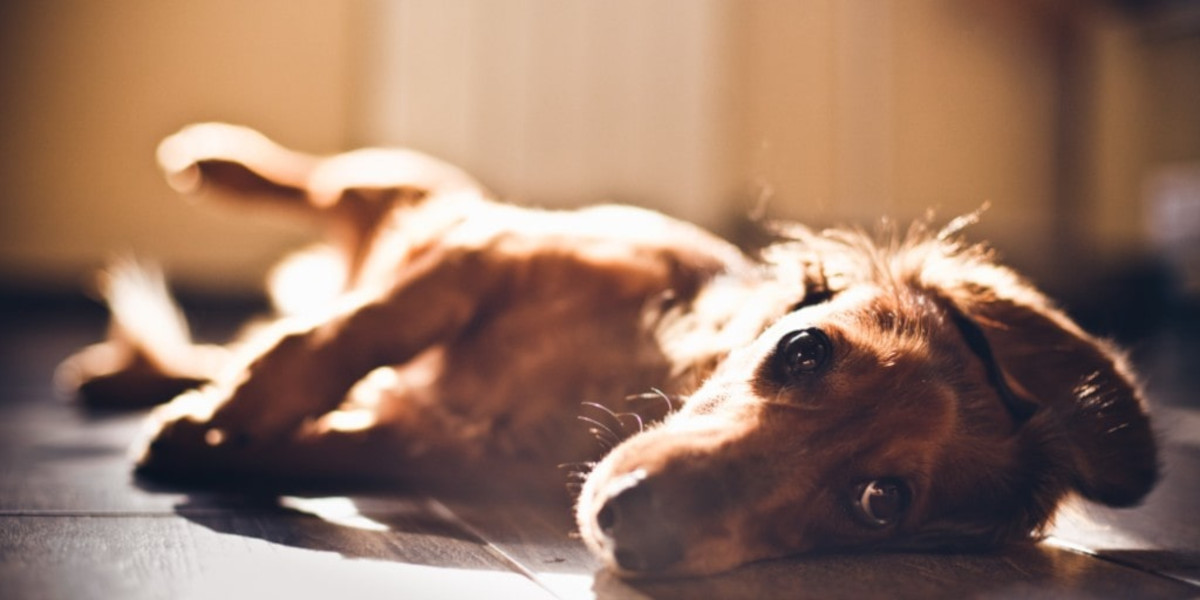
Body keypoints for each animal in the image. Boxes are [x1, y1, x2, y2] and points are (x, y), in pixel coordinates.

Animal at [58, 121, 1161, 576]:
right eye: (804, 350)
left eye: (880, 503)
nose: (633, 528)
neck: (620, 377)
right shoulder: (472, 257)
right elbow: (330, 341)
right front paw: (225, 418)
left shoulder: (401, 434)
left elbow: (301, 424)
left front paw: (213, 436)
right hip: (406, 190)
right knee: (317, 185)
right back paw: (214, 162)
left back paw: (137, 376)